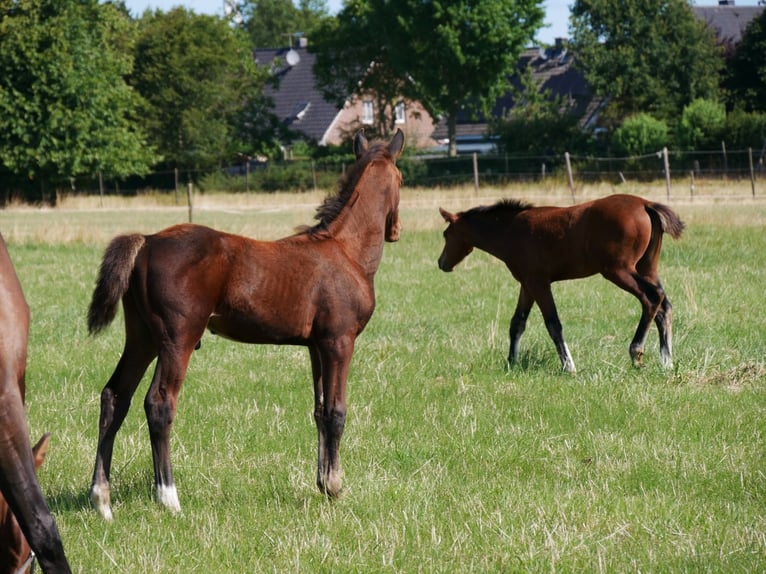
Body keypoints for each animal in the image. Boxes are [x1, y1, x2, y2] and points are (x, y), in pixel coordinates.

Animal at [87, 129, 404, 519]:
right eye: (401, 179)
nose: (395, 231)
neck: (346, 251)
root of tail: (147, 242)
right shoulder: (339, 342)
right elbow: (336, 411)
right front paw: (334, 486)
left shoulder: (315, 346)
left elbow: (318, 410)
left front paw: (321, 482)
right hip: (178, 338)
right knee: (158, 403)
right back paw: (169, 498)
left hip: (141, 338)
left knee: (115, 396)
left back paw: (102, 500)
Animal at [438, 194, 684, 373]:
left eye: (445, 235)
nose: (442, 263)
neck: (510, 230)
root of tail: (644, 204)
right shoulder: (527, 284)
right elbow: (517, 323)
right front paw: (511, 362)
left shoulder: (539, 283)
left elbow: (553, 324)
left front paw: (569, 366)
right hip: (647, 268)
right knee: (664, 306)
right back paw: (667, 361)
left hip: (619, 271)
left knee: (651, 298)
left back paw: (636, 352)